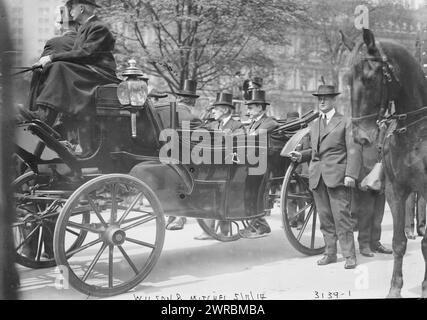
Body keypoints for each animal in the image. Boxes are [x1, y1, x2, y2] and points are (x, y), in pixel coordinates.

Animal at [342, 28, 427, 298]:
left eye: (370, 78)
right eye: (348, 80)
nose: (360, 137)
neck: (415, 133)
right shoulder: (395, 191)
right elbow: (399, 242)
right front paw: (394, 288)